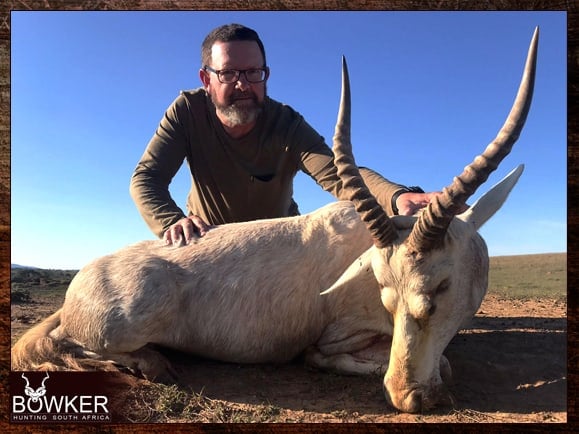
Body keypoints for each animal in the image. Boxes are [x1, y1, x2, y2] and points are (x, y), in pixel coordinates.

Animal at [11, 28, 540, 414]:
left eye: (441, 287)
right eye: (385, 292)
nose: (406, 397)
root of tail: (81, 281)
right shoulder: (339, 334)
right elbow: (430, 364)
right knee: (68, 343)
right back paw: (151, 363)